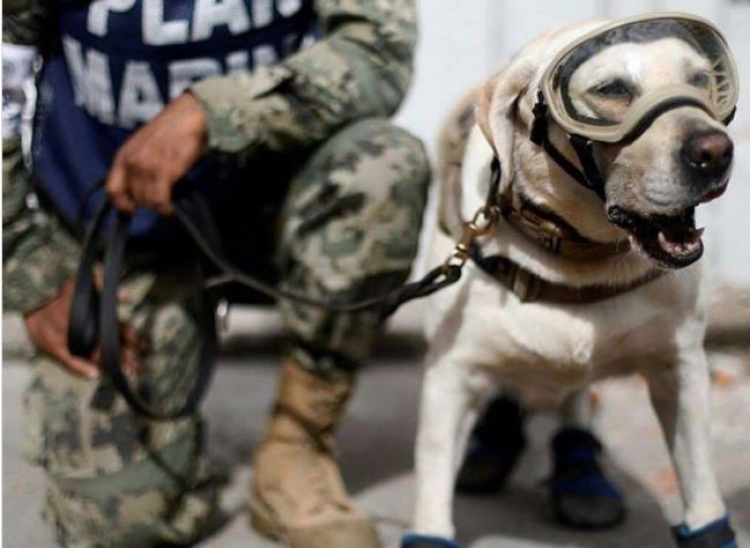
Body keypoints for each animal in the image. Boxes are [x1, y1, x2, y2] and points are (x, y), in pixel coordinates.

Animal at [406, 12, 740, 548]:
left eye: (701, 79)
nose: (714, 152)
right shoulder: (449, 373)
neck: (578, 259)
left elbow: (703, 492)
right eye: (612, 89)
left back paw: (582, 472)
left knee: (573, 400)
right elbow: (433, 478)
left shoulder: (682, 369)